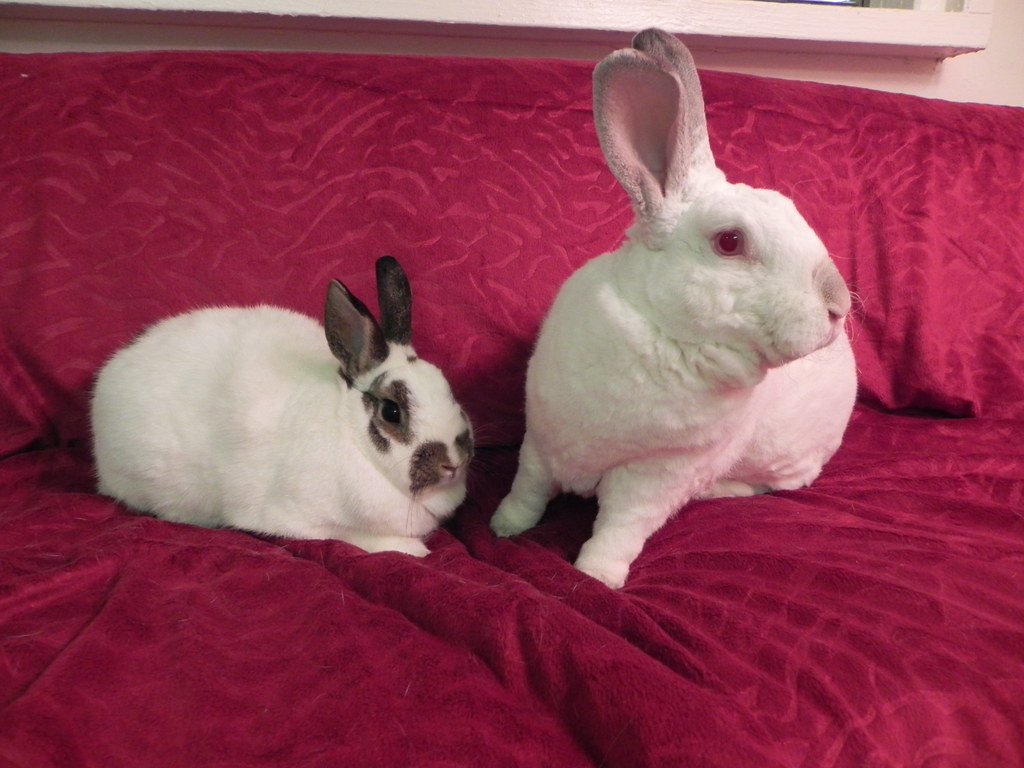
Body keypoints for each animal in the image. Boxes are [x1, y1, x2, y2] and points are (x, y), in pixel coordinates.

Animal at [91, 256, 474, 557]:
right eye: (391, 411)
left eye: (447, 389)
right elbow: (357, 537)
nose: (453, 463)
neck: (348, 431)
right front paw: (414, 550)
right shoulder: (304, 520)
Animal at [490, 29, 857, 588]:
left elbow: (619, 529)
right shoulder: (541, 440)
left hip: (785, 461)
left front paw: (596, 576)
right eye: (730, 242)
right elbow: (526, 490)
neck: (663, 330)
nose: (837, 305)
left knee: (778, 483)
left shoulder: (652, 478)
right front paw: (503, 527)